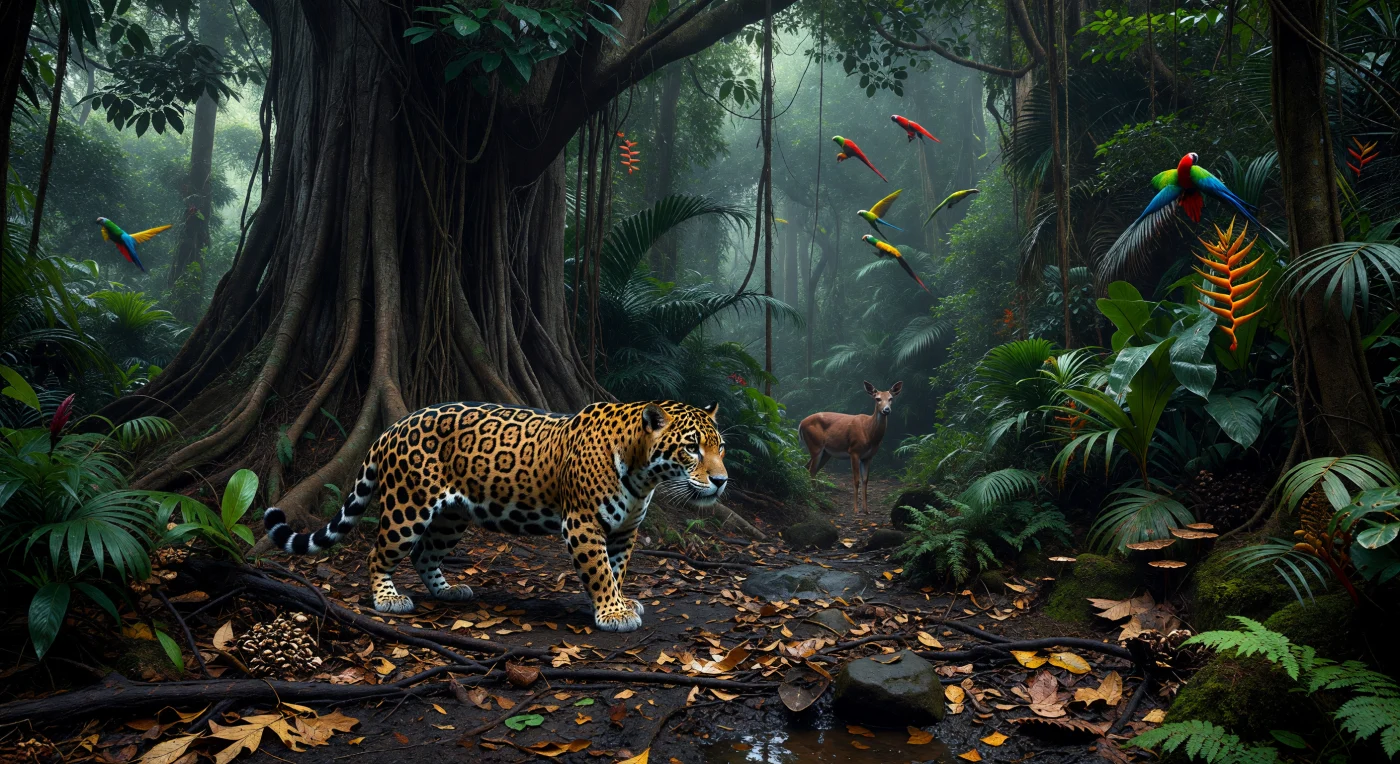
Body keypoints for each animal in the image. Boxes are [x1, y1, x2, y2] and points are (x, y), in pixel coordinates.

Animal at [262, 400, 728, 632]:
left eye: (720, 446)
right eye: (691, 447)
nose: (723, 481)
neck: (643, 472)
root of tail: (390, 428)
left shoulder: (625, 530)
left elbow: (617, 569)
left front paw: (618, 601)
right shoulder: (582, 523)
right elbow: (598, 571)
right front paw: (613, 613)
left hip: (451, 517)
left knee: (423, 555)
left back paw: (449, 591)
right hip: (407, 508)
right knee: (379, 555)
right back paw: (388, 599)